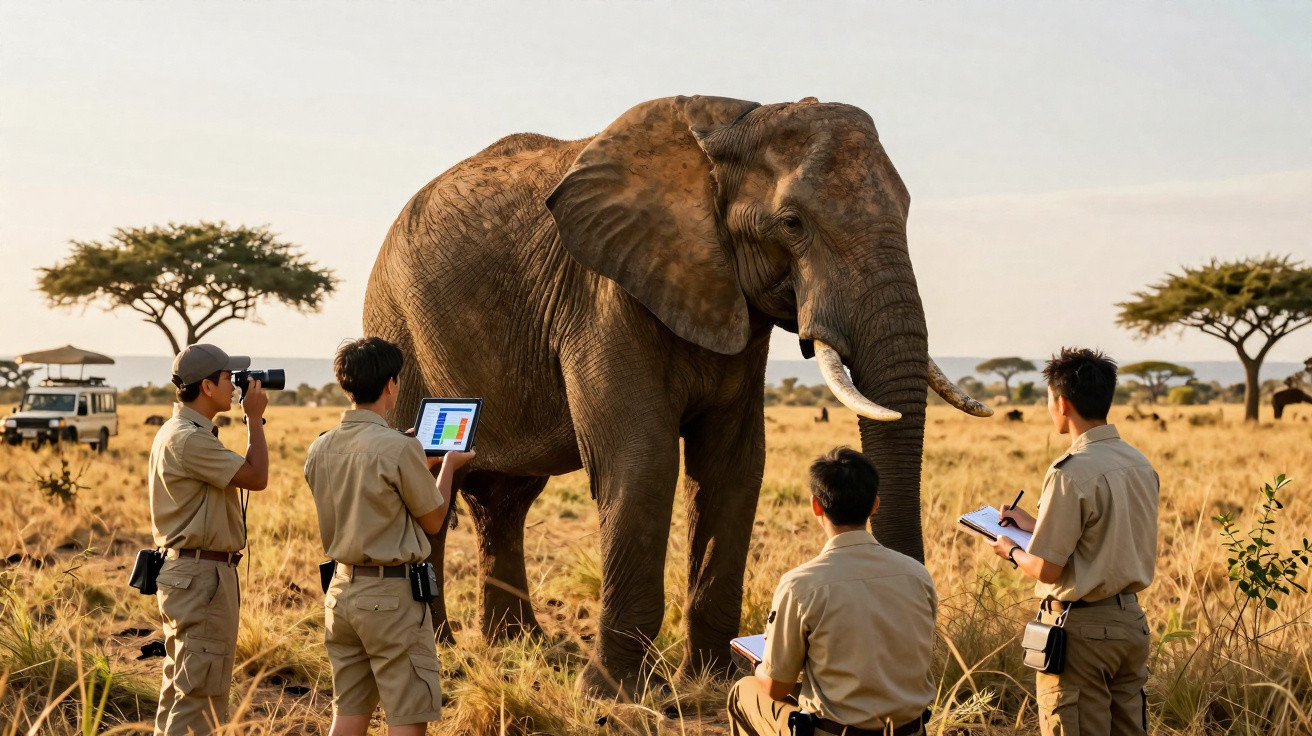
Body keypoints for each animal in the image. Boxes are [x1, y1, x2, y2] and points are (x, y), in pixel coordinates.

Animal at [363, 95, 991, 697]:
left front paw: (715, 679)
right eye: (792, 223)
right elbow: (642, 460)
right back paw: (443, 647)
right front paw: (613, 694)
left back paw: (517, 647)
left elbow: (733, 467)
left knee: (504, 500)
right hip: (396, 328)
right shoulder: (605, 295)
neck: (732, 127)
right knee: (430, 479)